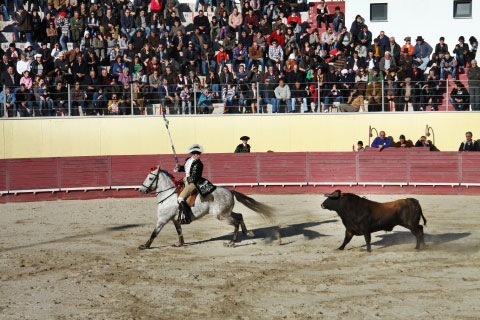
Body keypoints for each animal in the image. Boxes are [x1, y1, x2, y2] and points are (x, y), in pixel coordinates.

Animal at [139, 166, 274, 249]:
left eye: (150, 178)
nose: (141, 190)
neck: (168, 195)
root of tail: (229, 191)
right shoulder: (175, 220)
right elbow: (179, 232)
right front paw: (180, 244)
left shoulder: (162, 219)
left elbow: (154, 233)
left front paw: (145, 246)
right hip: (225, 213)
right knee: (239, 216)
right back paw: (247, 233)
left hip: (221, 216)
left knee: (236, 222)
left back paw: (232, 242)